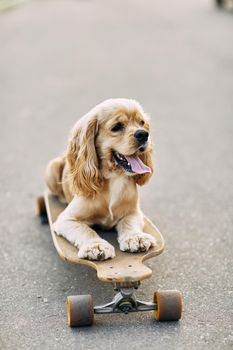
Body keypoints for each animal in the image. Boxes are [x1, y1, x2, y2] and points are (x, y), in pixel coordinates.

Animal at [45, 98, 157, 260]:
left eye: (141, 123)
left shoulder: (133, 212)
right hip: (51, 169)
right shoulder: (66, 220)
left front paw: (136, 238)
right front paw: (95, 246)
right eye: (117, 127)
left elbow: (129, 223)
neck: (114, 177)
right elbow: (86, 231)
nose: (144, 134)